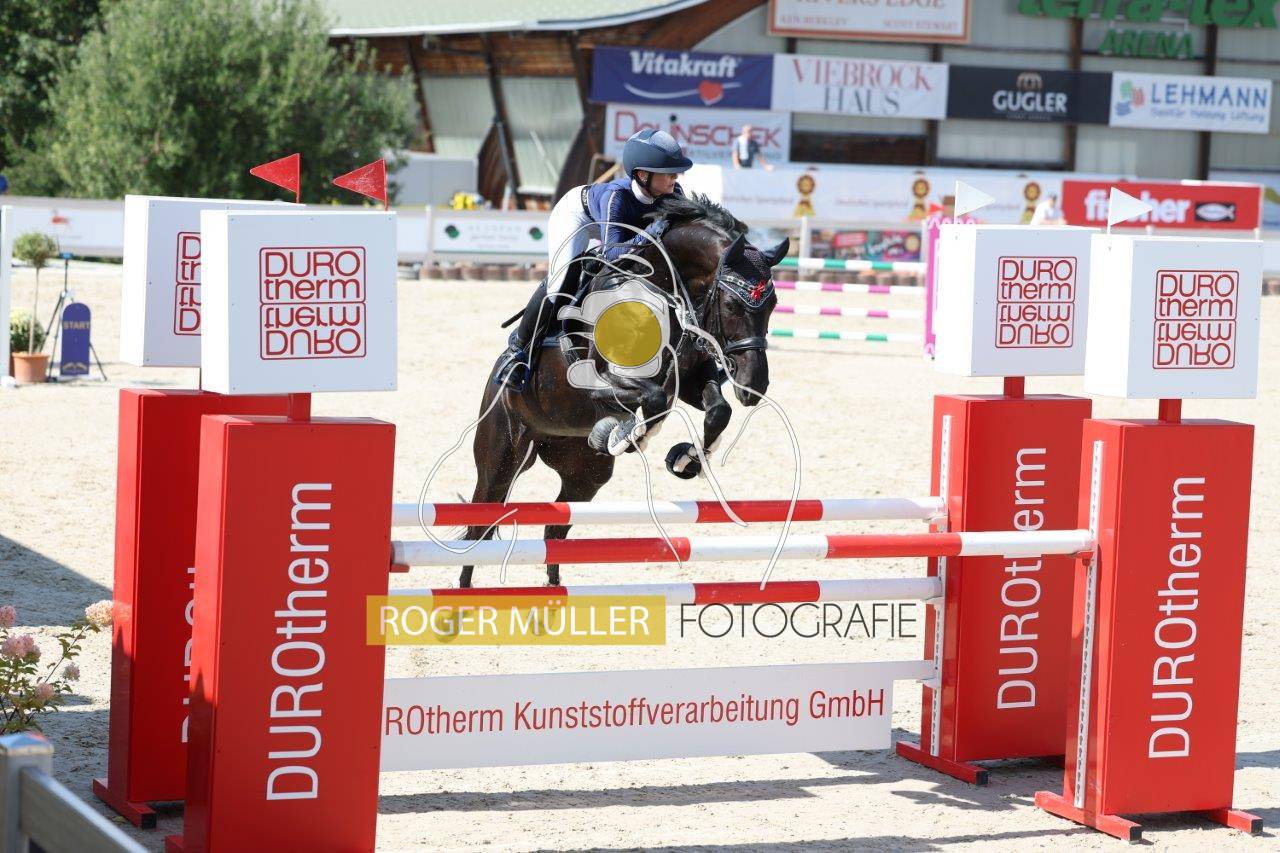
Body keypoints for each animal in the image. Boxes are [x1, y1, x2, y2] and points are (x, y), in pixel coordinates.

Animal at [458, 193, 786, 588]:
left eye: (773, 305)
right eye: (733, 304)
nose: (754, 386)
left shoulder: (688, 380)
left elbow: (716, 409)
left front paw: (686, 458)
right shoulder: (601, 381)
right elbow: (654, 399)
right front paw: (626, 436)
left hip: (585, 476)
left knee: (555, 530)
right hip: (500, 457)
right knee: (479, 525)